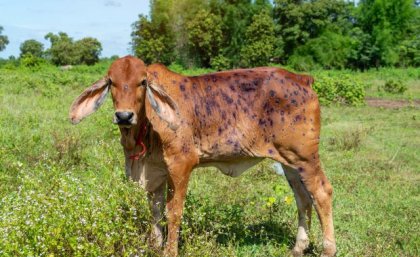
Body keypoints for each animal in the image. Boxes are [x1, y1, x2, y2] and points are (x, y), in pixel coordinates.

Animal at [69, 56, 338, 256]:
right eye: (111, 82)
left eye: (143, 82)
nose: (124, 116)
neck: (143, 130)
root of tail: (303, 79)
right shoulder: (154, 171)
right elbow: (154, 211)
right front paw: (154, 246)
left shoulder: (181, 164)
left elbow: (173, 211)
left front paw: (169, 251)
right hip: (289, 162)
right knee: (303, 198)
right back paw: (298, 247)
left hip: (306, 156)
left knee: (322, 192)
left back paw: (328, 249)